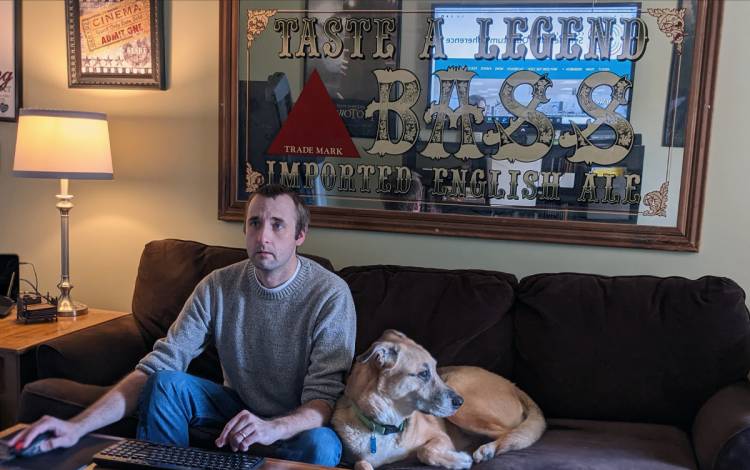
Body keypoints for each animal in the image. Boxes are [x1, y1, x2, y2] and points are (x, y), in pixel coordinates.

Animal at [334, 330, 548, 470]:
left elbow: (424, 451)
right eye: (423, 374)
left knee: (512, 432)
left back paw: (487, 449)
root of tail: (514, 386)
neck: (387, 424)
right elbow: (362, 464)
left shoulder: (440, 437)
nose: (459, 401)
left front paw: (460, 461)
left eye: (436, 370)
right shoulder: (357, 460)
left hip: (463, 403)